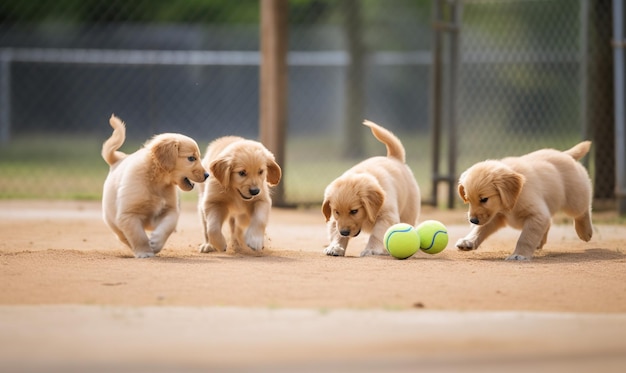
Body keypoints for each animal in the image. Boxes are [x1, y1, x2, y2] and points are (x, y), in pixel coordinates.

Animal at [101, 115, 208, 258]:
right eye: (191, 158)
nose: (207, 175)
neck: (157, 181)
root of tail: (117, 160)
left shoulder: (170, 209)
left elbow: (168, 226)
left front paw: (156, 242)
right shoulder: (128, 214)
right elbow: (138, 235)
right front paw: (144, 252)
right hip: (112, 220)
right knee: (122, 236)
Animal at [322, 119, 420, 256]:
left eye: (354, 211)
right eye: (336, 212)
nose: (345, 232)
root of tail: (394, 158)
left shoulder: (387, 217)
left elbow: (376, 235)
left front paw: (371, 249)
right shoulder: (335, 222)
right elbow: (336, 233)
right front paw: (336, 247)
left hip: (408, 213)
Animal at [454, 141, 588, 260]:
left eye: (484, 199)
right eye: (468, 200)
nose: (473, 220)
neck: (513, 198)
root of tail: (564, 154)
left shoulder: (536, 215)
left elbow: (525, 238)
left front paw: (519, 254)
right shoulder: (495, 215)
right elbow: (481, 229)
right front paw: (468, 241)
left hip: (574, 199)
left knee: (582, 209)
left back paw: (585, 231)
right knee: (549, 222)